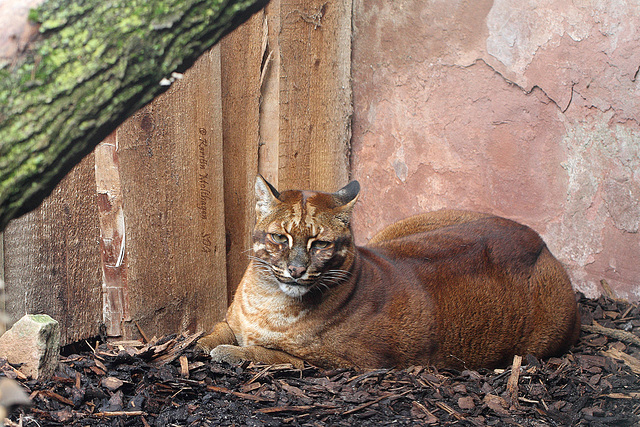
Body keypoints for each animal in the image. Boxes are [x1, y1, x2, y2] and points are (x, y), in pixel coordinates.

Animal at [196, 176, 580, 372]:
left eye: (321, 244)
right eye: (280, 238)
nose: (296, 269)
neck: (268, 298)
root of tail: (539, 240)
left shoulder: (345, 363)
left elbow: (272, 354)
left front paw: (231, 352)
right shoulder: (233, 319)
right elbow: (217, 329)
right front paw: (200, 344)